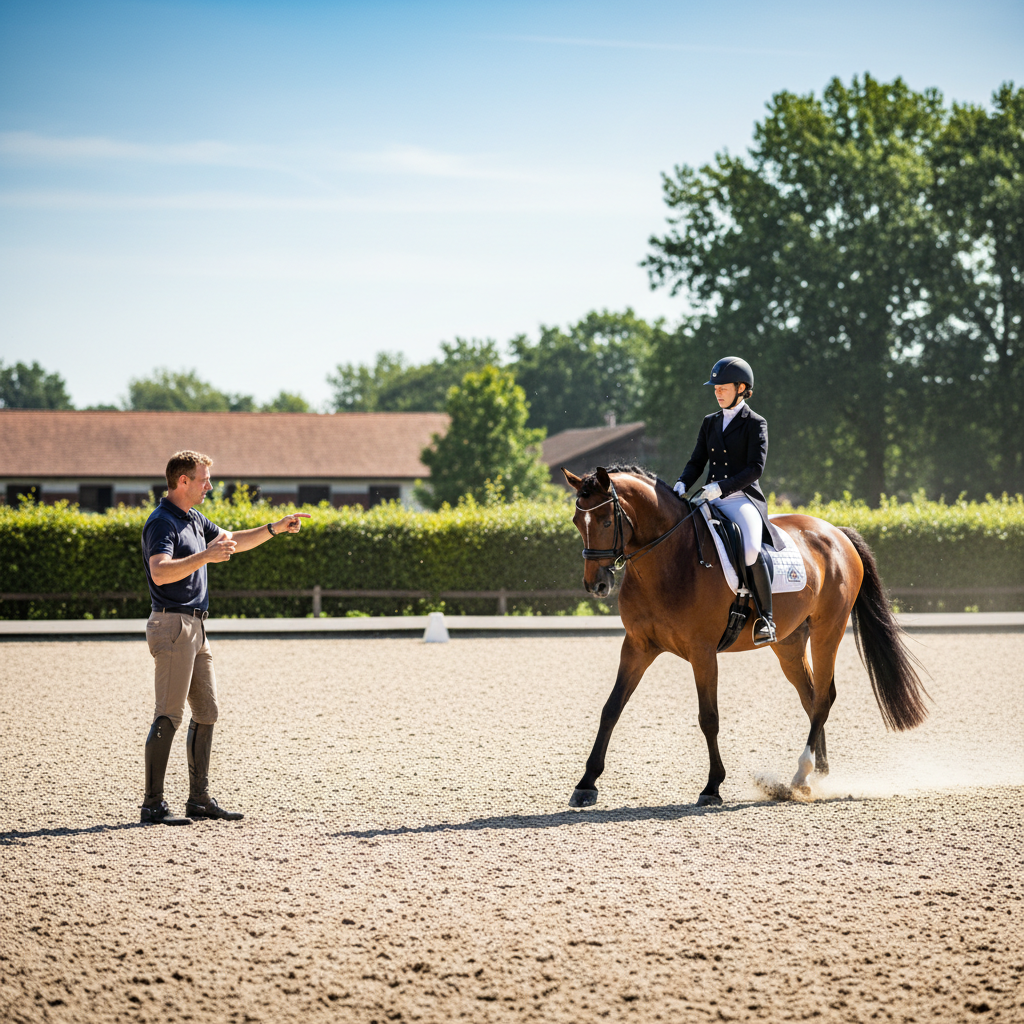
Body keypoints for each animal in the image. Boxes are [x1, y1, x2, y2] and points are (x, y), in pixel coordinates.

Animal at [563, 465, 928, 807]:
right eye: (577, 522)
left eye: (606, 522)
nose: (596, 585)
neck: (669, 560)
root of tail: (837, 533)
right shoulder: (637, 646)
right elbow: (611, 708)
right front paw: (586, 784)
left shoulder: (702, 652)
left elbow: (708, 718)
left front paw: (712, 787)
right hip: (790, 644)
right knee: (811, 697)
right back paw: (819, 773)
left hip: (828, 630)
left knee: (824, 698)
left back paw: (800, 775)